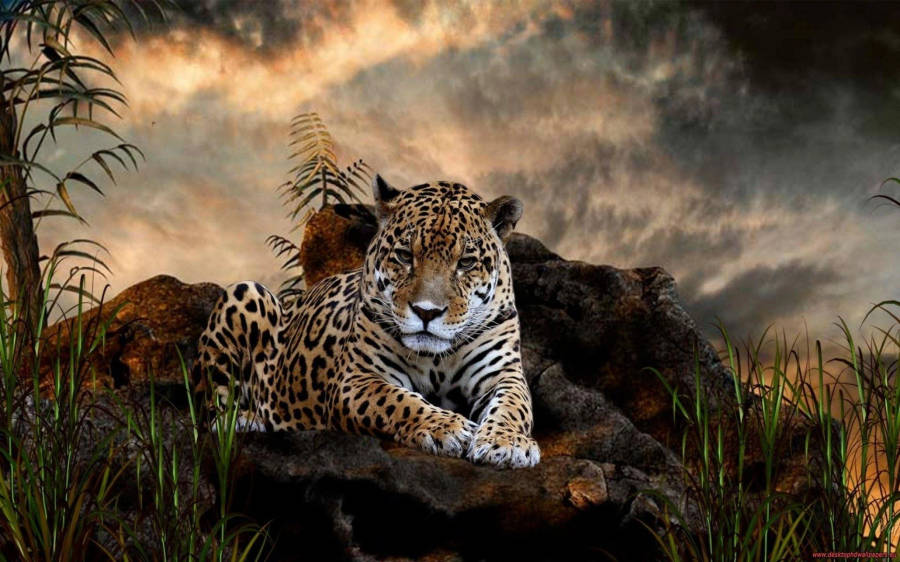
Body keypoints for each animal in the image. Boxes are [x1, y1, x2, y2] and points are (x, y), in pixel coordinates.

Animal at [192, 175, 539, 468]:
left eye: (466, 262)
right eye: (404, 256)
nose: (426, 312)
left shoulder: (503, 374)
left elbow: (513, 406)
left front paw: (507, 443)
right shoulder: (357, 379)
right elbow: (398, 401)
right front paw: (447, 427)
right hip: (245, 292)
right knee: (211, 412)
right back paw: (246, 420)